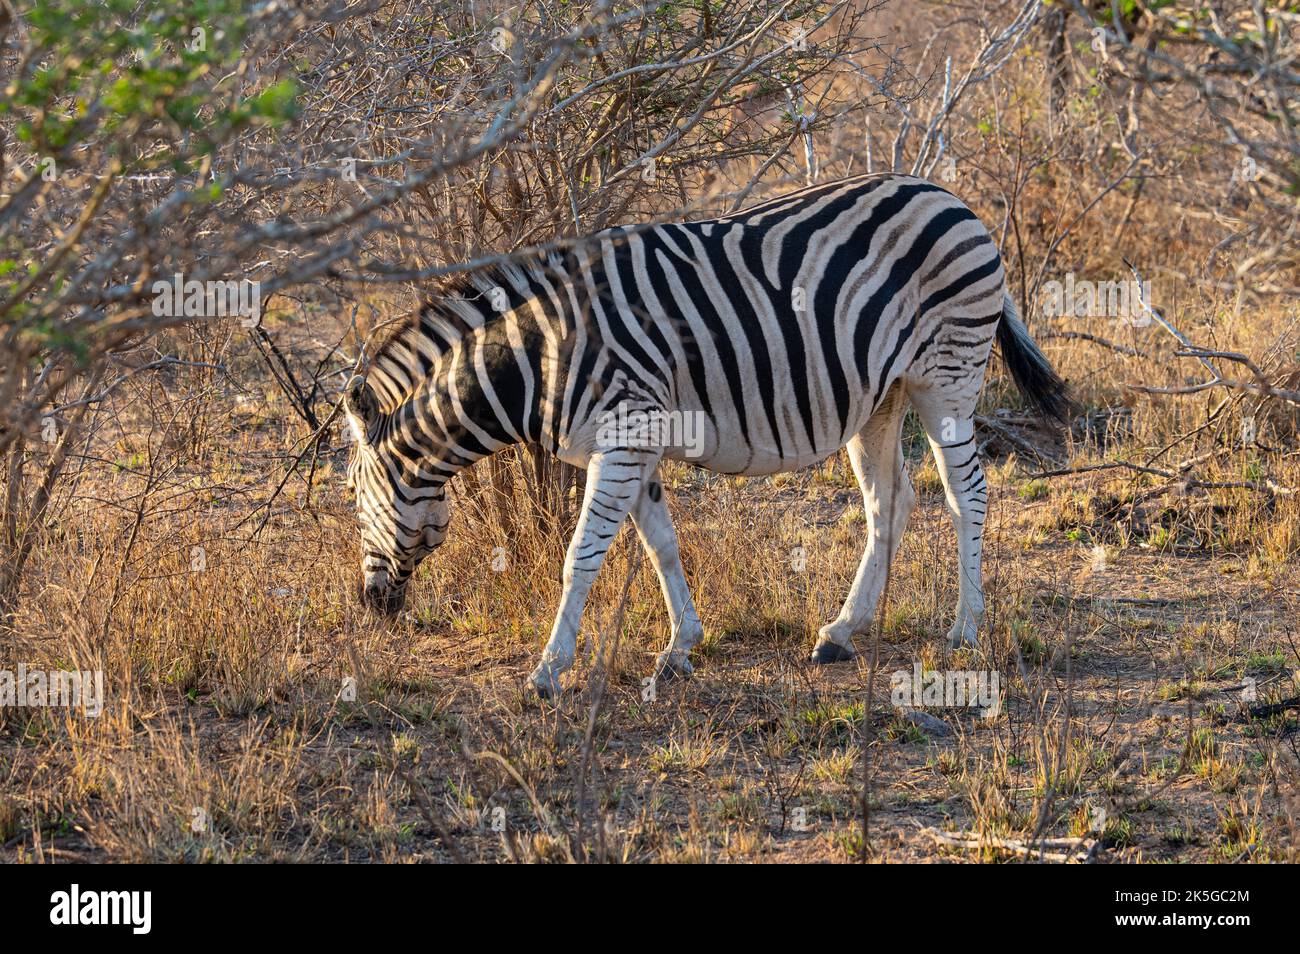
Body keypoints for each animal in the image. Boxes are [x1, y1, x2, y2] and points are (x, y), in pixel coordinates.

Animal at [342, 173, 1071, 697]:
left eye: (351, 498)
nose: (371, 607)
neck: (540, 356)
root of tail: (952, 197)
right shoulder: (634, 444)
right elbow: (661, 543)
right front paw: (679, 648)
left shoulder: (624, 435)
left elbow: (581, 556)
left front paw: (549, 670)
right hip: (880, 397)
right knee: (888, 503)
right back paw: (841, 630)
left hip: (946, 375)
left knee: (966, 494)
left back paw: (966, 628)